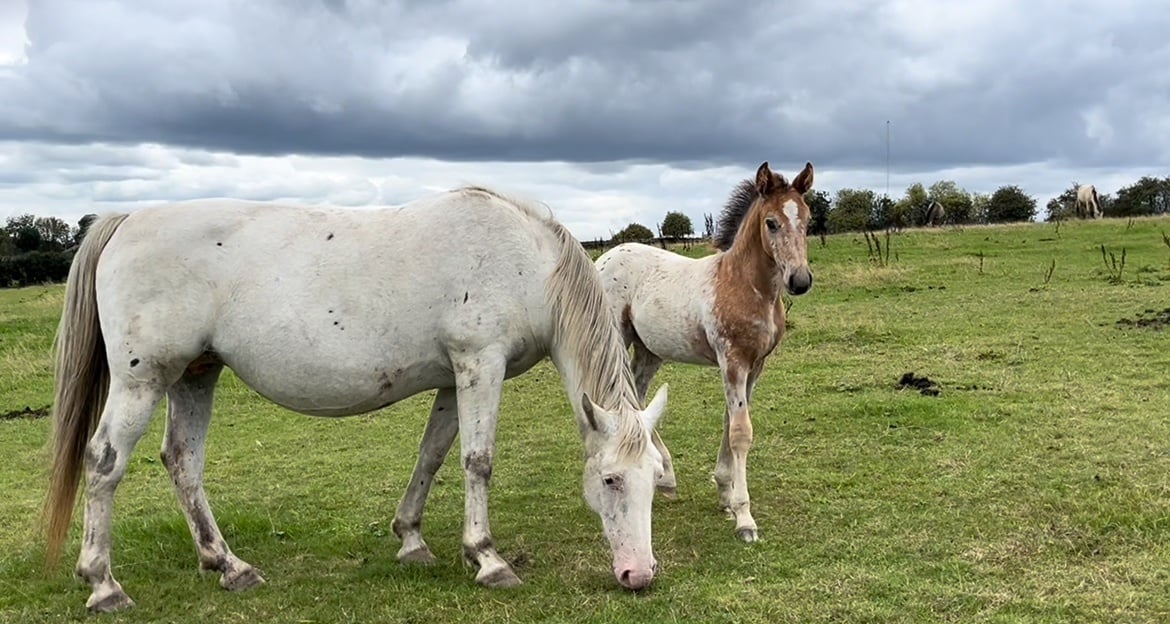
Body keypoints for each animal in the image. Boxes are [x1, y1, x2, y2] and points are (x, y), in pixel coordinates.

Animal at [42, 186, 670, 613]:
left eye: (655, 478)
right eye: (610, 480)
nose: (639, 574)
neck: (525, 261)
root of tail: (127, 219)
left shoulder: (452, 379)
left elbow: (432, 455)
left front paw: (411, 540)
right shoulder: (479, 365)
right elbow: (477, 461)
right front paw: (488, 559)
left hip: (195, 375)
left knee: (182, 462)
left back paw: (228, 565)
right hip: (142, 382)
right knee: (104, 464)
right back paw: (103, 584)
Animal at [595, 161, 814, 542]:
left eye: (808, 219)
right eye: (771, 222)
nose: (799, 281)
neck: (744, 284)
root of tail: (603, 257)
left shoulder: (754, 366)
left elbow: (732, 422)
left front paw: (725, 494)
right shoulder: (732, 360)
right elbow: (741, 432)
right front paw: (745, 518)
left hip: (650, 350)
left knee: (637, 395)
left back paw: (666, 476)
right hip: (617, 341)